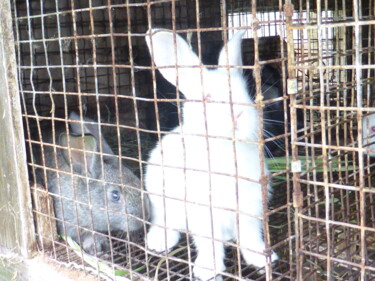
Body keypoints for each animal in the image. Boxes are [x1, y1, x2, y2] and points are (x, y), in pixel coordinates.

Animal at [145, 27, 278, 278]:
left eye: (247, 94)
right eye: (207, 98)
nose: (238, 114)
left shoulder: (249, 208)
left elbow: (250, 236)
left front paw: (263, 258)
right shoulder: (203, 214)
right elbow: (208, 243)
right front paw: (207, 269)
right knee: (168, 223)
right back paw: (158, 241)